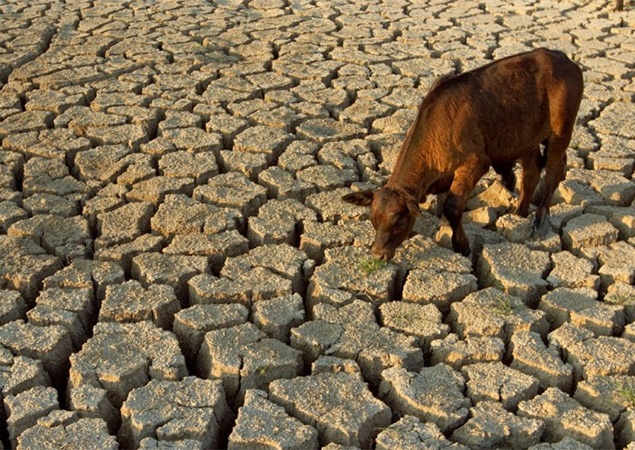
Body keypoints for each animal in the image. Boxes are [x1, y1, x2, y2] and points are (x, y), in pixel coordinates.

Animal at [346, 48, 584, 260]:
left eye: (400, 222)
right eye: (374, 219)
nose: (378, 255)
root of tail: (562, 57)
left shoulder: (475, 163)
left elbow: (451, 207)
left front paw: (461, 245)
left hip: (561, 130)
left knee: (553, 170)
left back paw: (540, 220)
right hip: (526, 137)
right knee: (531, 172)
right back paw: (520, 213)